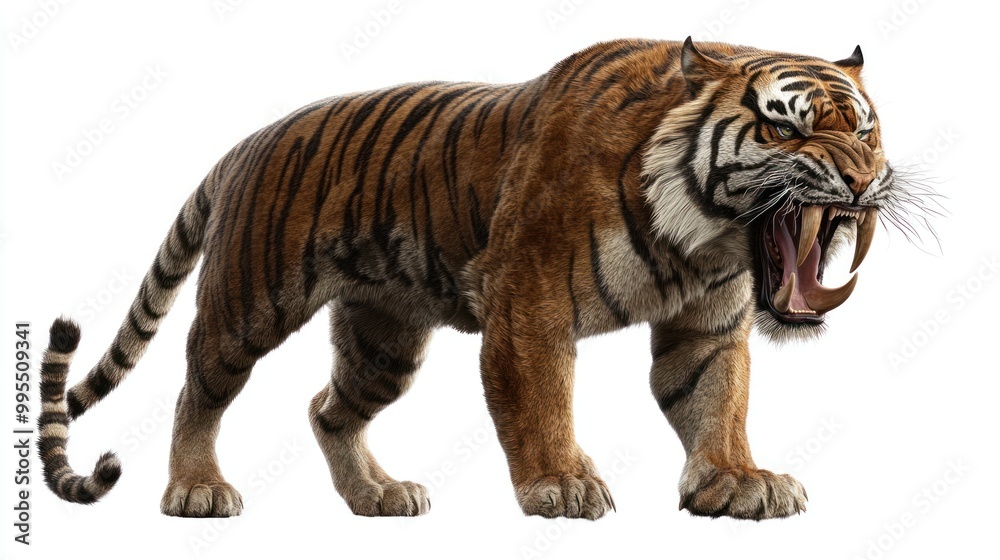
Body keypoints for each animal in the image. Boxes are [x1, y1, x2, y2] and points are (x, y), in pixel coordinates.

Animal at [37, 37, 921, 521]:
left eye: (865, 131)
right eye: (785, 128)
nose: (860, 179)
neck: (698, 240)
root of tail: (246, 142)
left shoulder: (705, 324)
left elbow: (716, 402)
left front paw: (738, 482)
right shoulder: (527, 303)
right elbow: (538, 402)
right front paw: (561, 484)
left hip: (384, 340)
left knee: (327, 408)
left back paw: (378, 496)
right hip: (247, 303)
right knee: (198, 389)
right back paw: (195, 489)